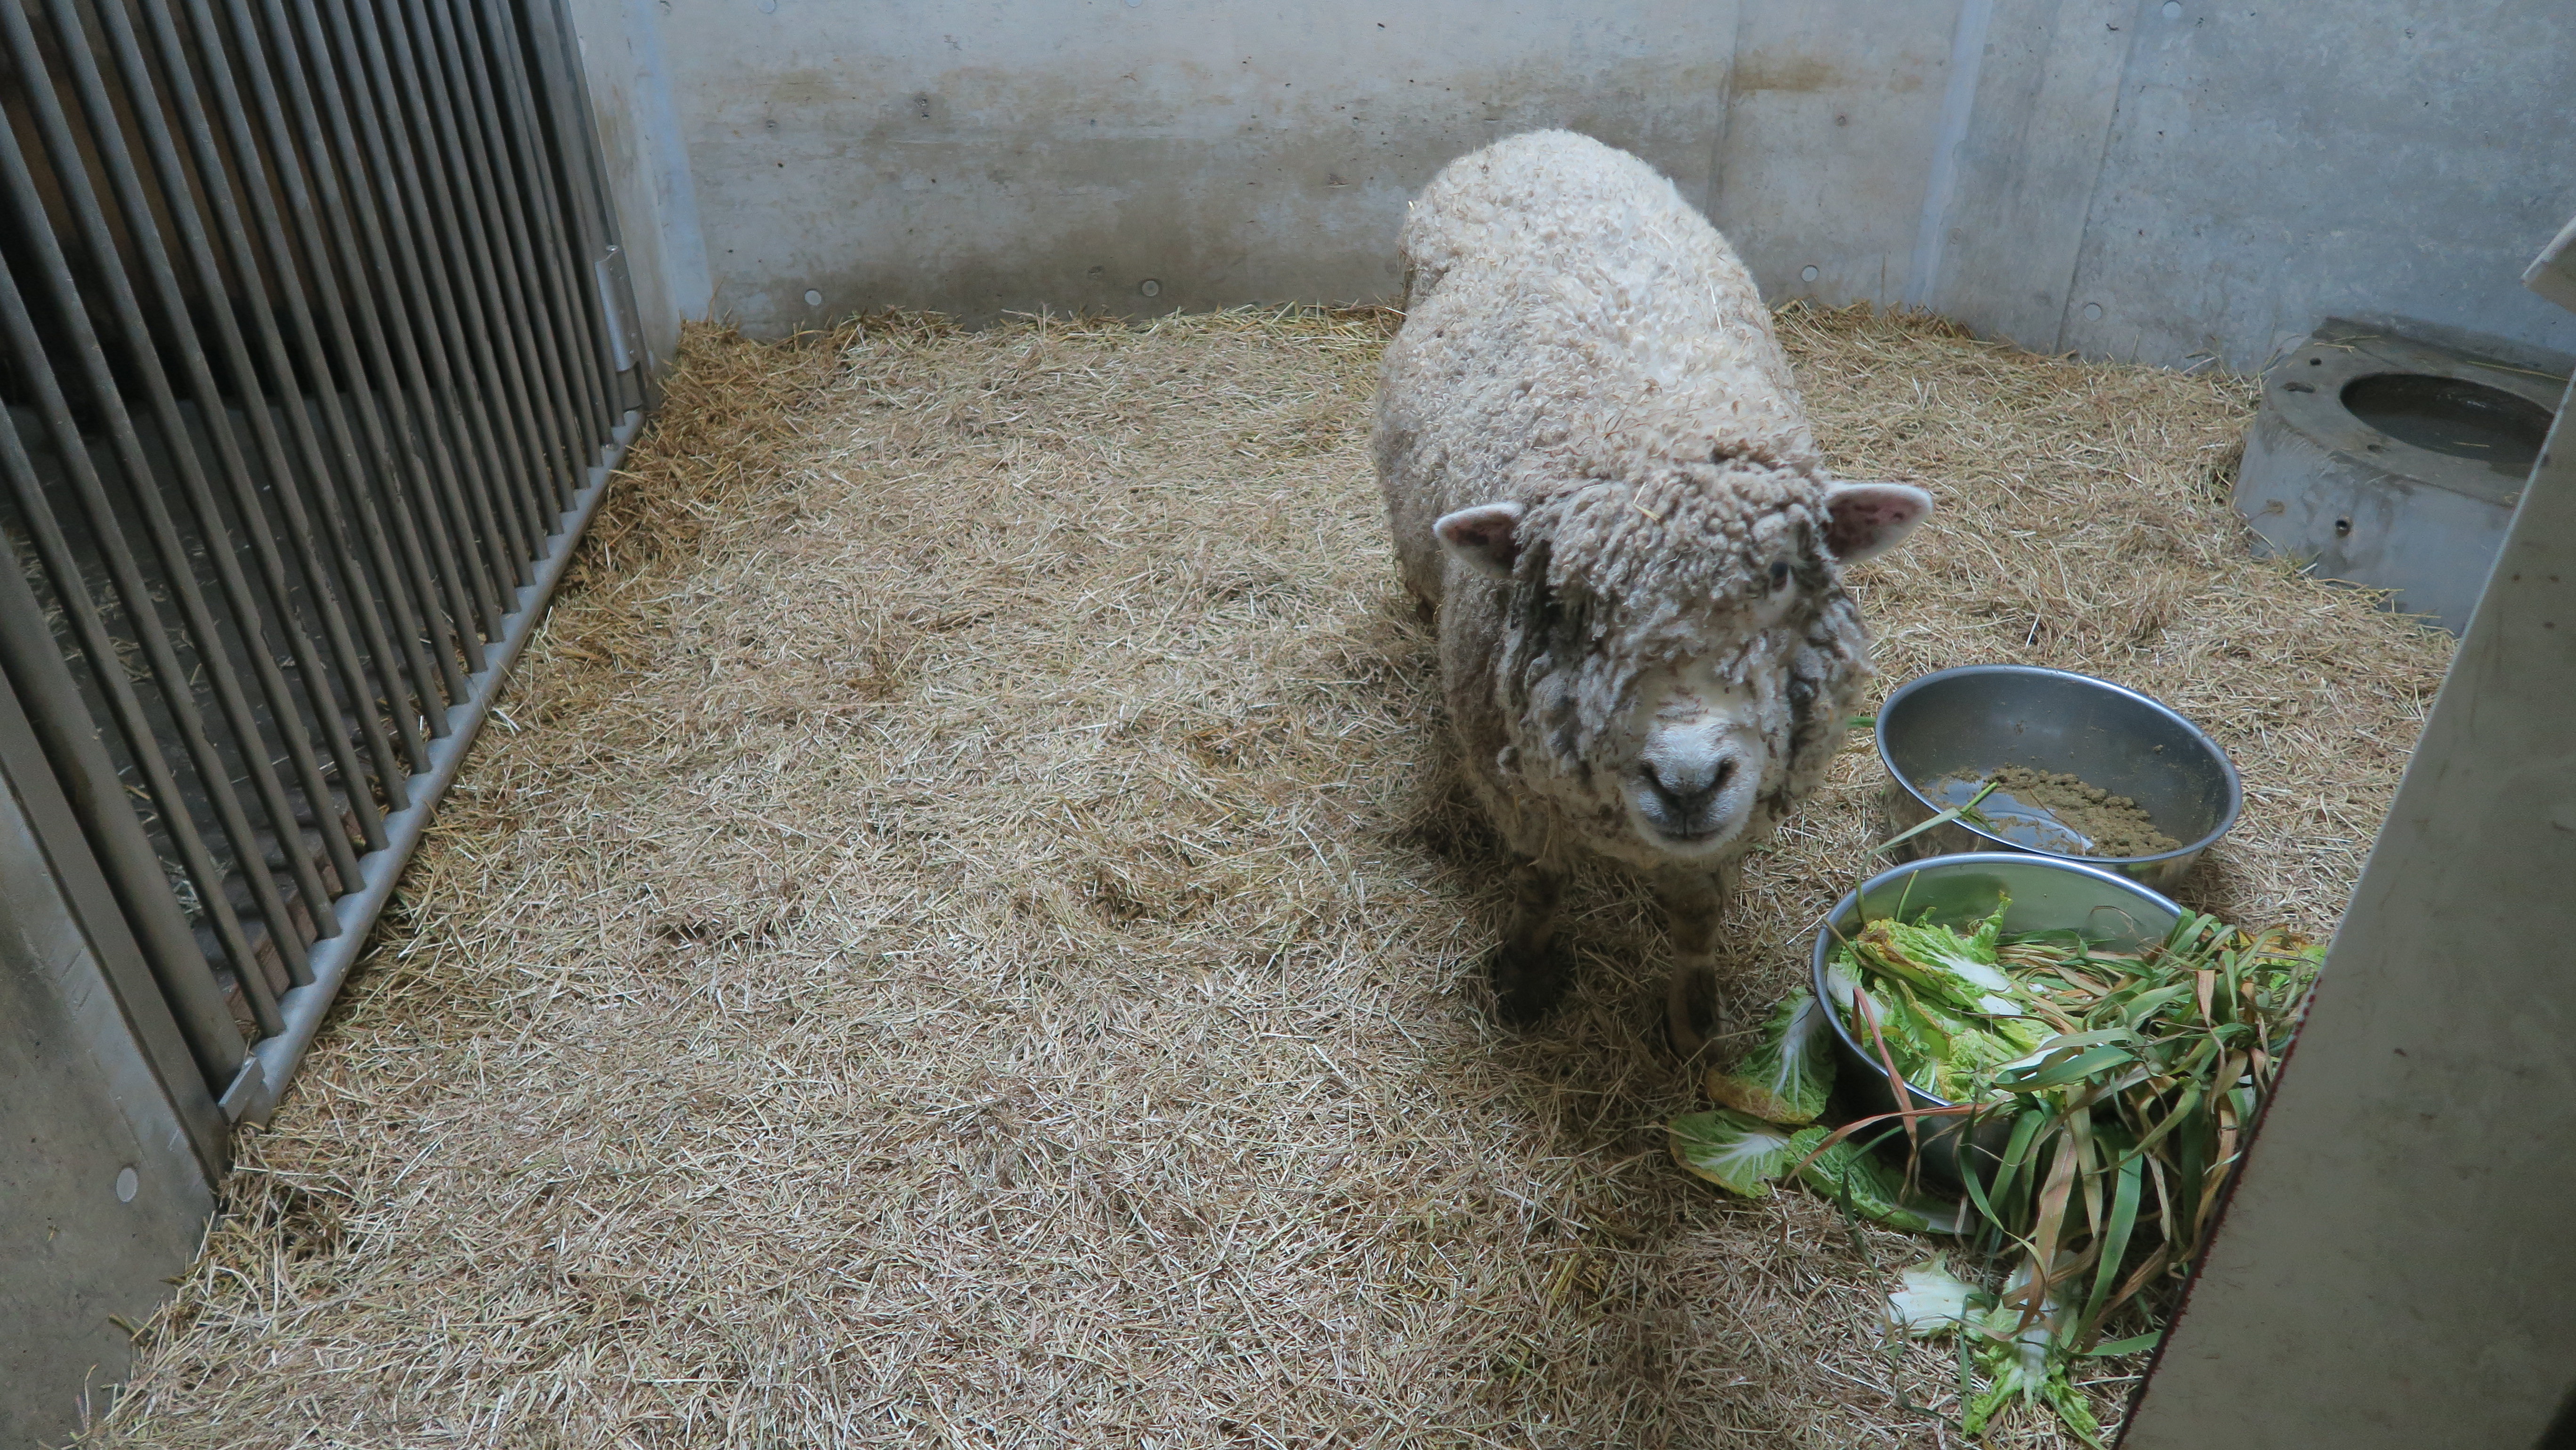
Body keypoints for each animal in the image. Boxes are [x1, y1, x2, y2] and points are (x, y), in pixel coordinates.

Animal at [1380, 130, 1927, 1051]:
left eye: (1781, 574)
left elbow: (1698, 912)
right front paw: (1525, 976)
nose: (1686, 780)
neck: (1651, 425)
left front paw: (1694, 1016)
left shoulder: (1733, 818)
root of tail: (1537, 135)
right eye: (1562, 601)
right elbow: (1539, 883)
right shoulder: (1518, 786)